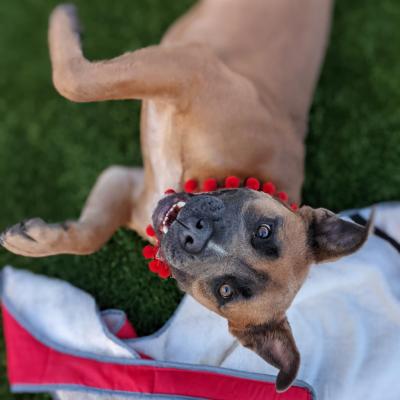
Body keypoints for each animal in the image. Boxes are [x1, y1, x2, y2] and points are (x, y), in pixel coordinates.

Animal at [0, 0, 372, 392]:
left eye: (226, 292)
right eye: (264, 231)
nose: (197, 234)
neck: (206, 175)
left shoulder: (128, 181)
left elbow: (90, 234)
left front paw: (36, 238)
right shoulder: (190, 69)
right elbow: (77, 82)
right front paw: (63, 23)